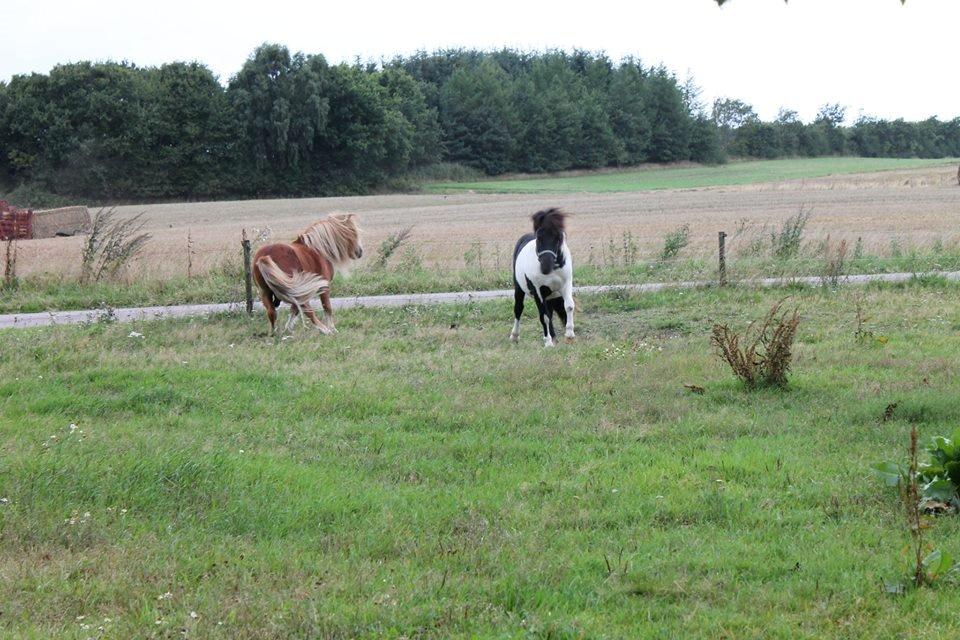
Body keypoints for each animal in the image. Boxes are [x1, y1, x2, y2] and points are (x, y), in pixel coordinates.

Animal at [510, 209, 576, 348]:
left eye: (558, 238)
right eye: (539, 237)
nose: (545, 267)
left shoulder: (566, 285)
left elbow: (568, 306)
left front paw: (569, 335)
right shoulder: (538, 292)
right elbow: (543, 316)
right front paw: (548, 342)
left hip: (550, 295)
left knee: (549, 312)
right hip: (519, 288)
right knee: (518, 309)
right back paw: (514, 336)